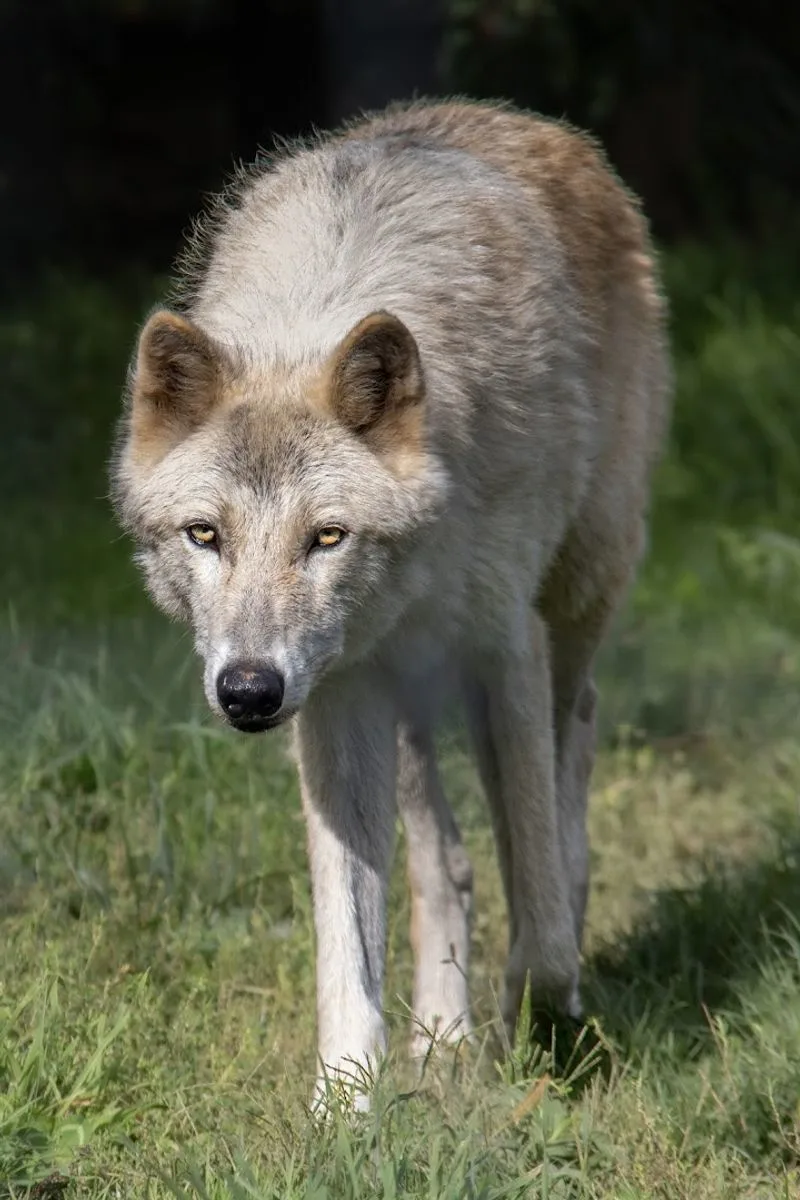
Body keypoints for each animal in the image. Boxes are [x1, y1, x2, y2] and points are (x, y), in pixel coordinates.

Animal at [111, 99, 670, 1103]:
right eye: (205, 536)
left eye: (326, 537)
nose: (247, 691)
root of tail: (529, 122)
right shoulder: (337, 695)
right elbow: (348, 929)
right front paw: (347, 1103)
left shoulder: (504, 651)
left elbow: (535, 892)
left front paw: (542, 1014)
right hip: (400, 691)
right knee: (446, 861)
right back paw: (443, 1037)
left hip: (574, 606)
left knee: (571, 758)